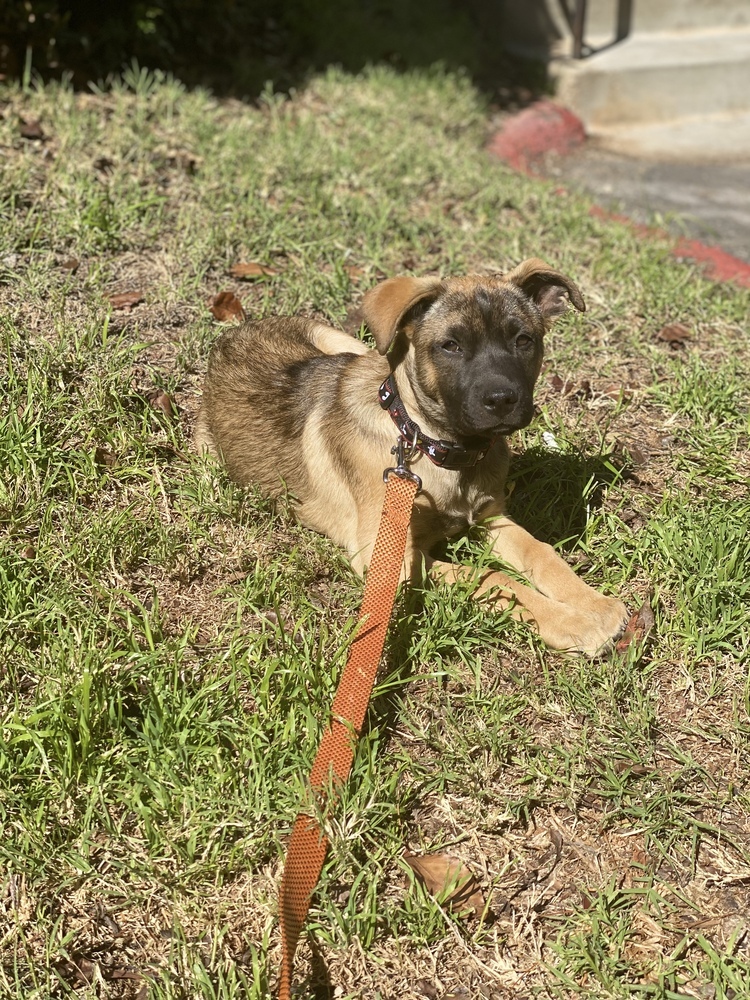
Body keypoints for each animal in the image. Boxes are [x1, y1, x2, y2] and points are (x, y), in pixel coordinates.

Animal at [195, 256, 628, 656]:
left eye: (524, 340)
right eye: (450, 346)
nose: (503, 400)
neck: (432, 445)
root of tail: (238, 329)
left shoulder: (491, 517)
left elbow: (542, 552)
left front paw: (594, 605)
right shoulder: (388, 560)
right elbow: (492, 579)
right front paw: (569, 621)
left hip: (355, 349)